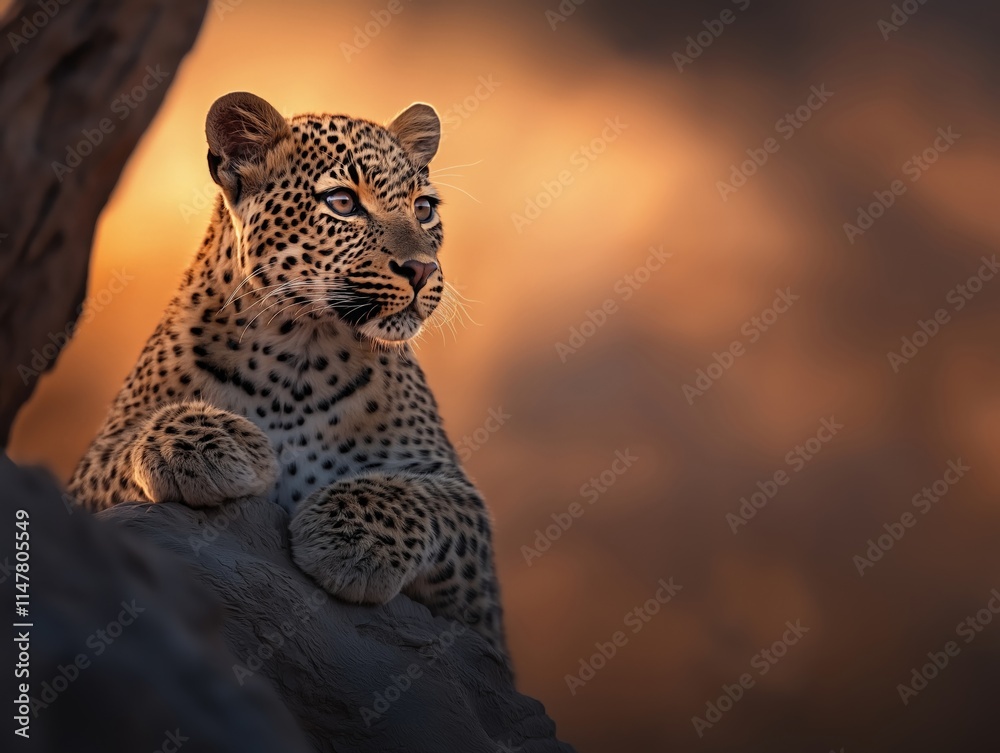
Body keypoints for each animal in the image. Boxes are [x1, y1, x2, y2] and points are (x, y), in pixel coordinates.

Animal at [67, 92, 508, 659]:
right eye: (342, 202)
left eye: (424, 208)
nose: (422, 270)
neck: (297, 355)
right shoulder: (90, 468)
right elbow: (130, 445)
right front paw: (208, 446)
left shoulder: (473, 564)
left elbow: (426, 497)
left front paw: (351, 538)